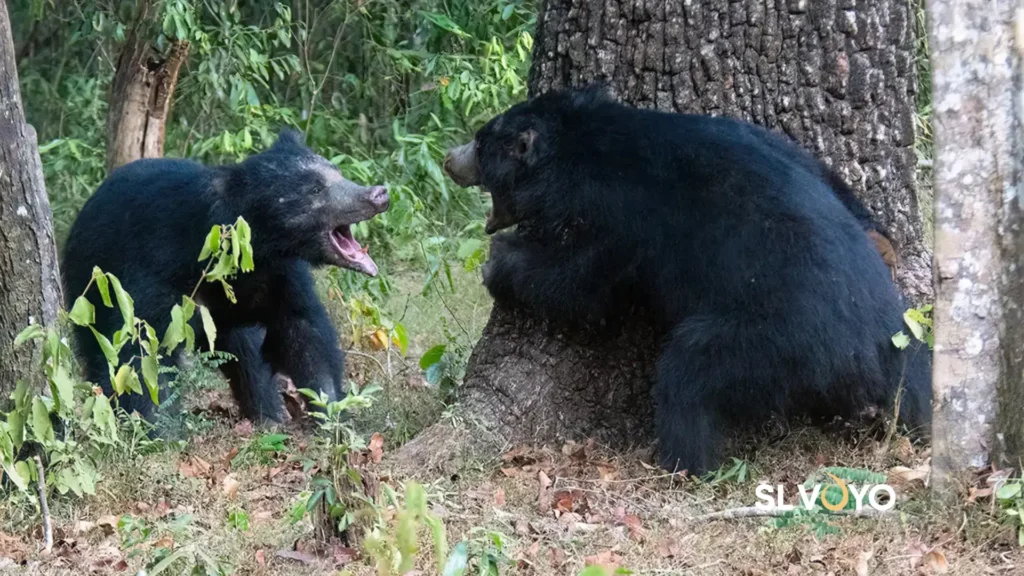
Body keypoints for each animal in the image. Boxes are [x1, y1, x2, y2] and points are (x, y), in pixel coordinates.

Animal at [61, 129, 388, 424]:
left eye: (338, 173)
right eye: (316, 190)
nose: (378, 194)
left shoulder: (279, 274)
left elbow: (304, 329)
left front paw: (332, 411)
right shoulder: (150, 270)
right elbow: (139, 347)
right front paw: (159, 428)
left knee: (248, 352)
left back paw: (269, 414)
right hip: (87, 288)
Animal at [442, 87, 931, 474]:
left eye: (481, 143)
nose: (449, 159)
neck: (587, 142)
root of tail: (874, 349)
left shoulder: (615, 215)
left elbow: (582, 284)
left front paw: (499, 261)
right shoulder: (753, 135)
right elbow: (816, 165)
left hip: (776, 340)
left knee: (689, 373)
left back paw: (680, 462)